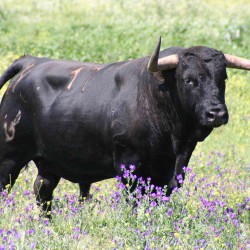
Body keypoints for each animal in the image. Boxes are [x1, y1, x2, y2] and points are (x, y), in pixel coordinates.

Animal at [0, 38, 250, 215]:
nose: (216, 113)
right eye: (188, 79)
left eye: (223, 78)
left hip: (48, 163)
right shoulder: (129, 167)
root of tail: (30, 62)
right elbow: (135, 203)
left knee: (43, 192)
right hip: (10, 156)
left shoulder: (171, 172)